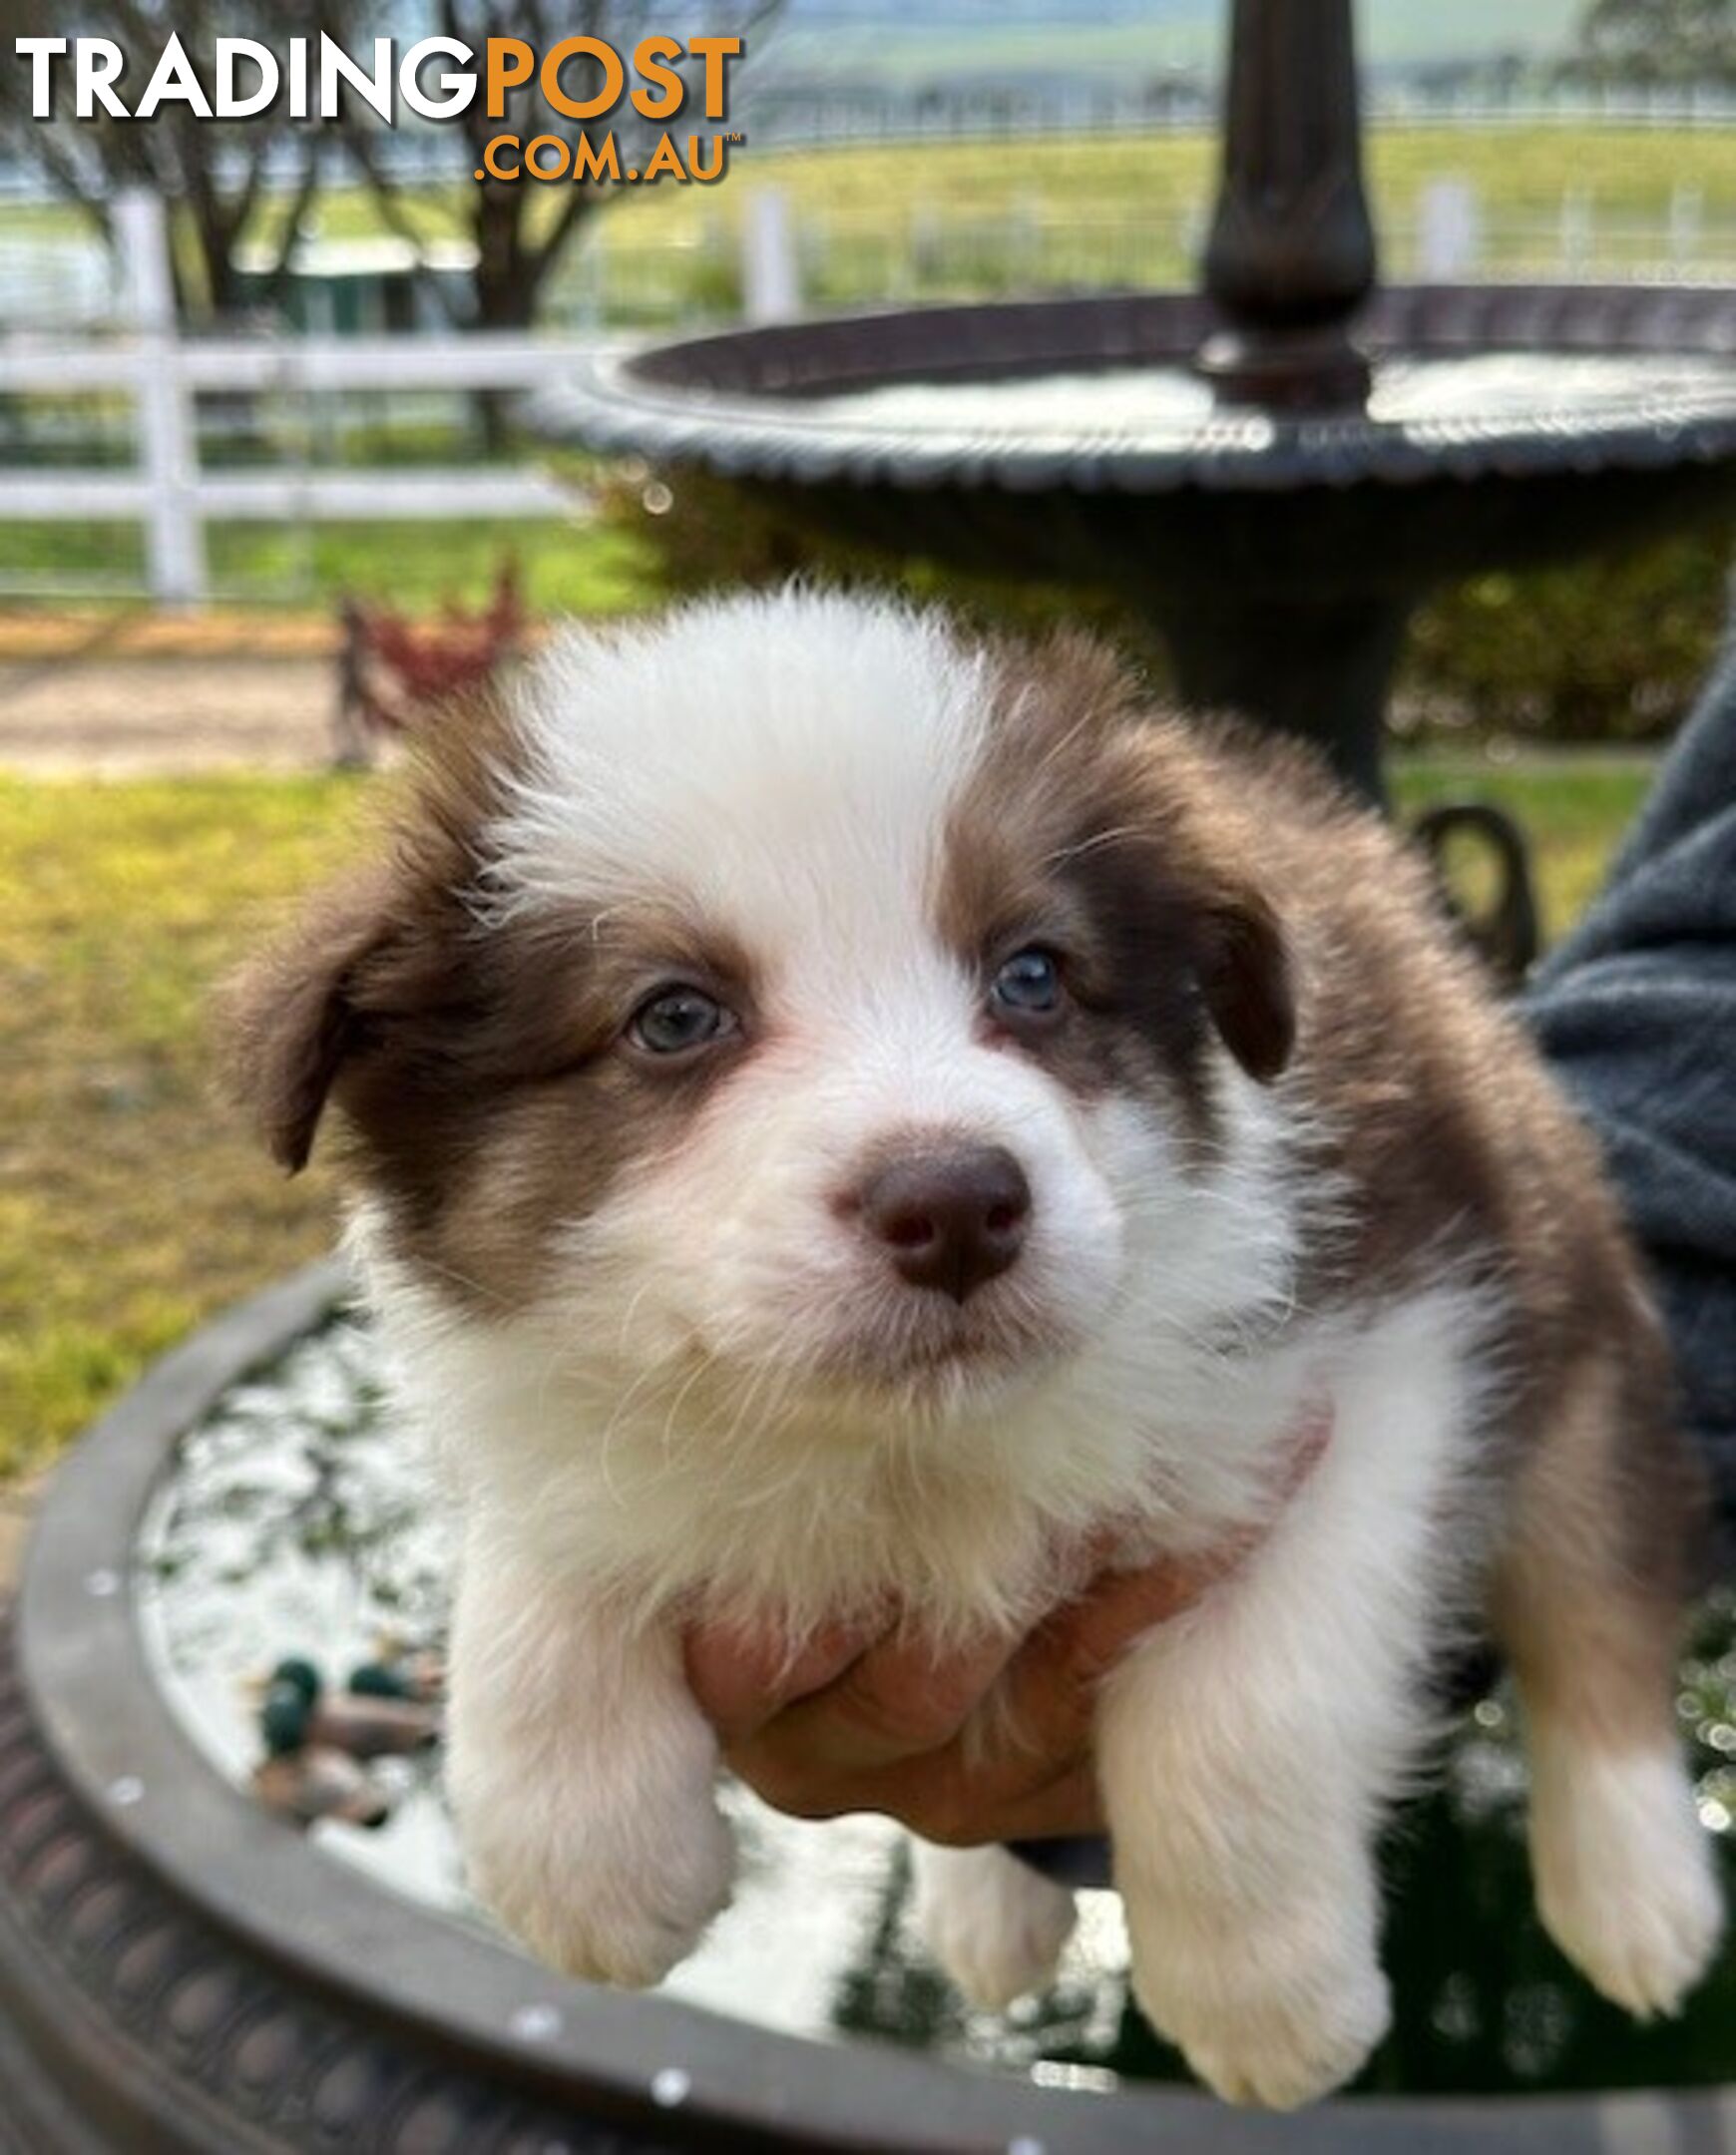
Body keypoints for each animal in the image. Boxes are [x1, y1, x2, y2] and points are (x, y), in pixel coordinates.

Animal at [223, 586, 1723, 2103]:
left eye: (1035, 975)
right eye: (675, 1016)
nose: (954, 1206)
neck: (912, 1446)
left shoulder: (1399, 1344)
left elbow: (1244, 1712)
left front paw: (1265, 1998)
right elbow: (540, 1565)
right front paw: (581, 1852)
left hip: (1570, 1304)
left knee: (1596, 1609)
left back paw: (1635, 1896)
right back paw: (984, 1907)